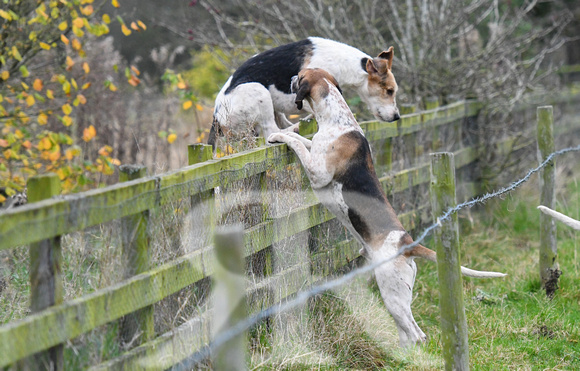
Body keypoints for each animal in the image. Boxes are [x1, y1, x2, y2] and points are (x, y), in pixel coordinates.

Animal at [268, 69, 508, 348]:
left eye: (301, 76)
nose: (292, 78)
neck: (337, 119)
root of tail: (408, 244)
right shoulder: (314, 150)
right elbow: (302, 139)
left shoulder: (317, 173)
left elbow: (295, 143)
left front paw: (278, 135)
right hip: (398, 295)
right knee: (410, 334)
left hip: (391, 293)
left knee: (416, 334)